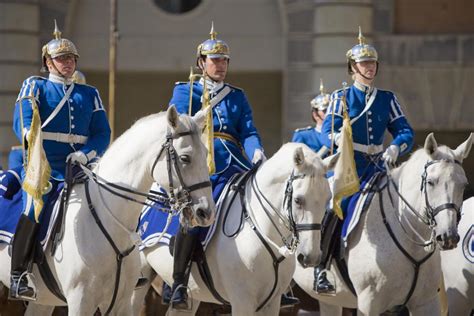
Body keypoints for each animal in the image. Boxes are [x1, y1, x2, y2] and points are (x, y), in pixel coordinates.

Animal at [0, 107, 213, 316]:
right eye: (185, 158)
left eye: (206, 154)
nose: (206, 212)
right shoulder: (80, 302)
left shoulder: (121, 303)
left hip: (43, 301)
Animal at [294, 132, 472, 314]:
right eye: (431, 182)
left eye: (464, 185)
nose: (448, 237)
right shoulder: (369, 303)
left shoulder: (427, 303)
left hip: (330, 301)